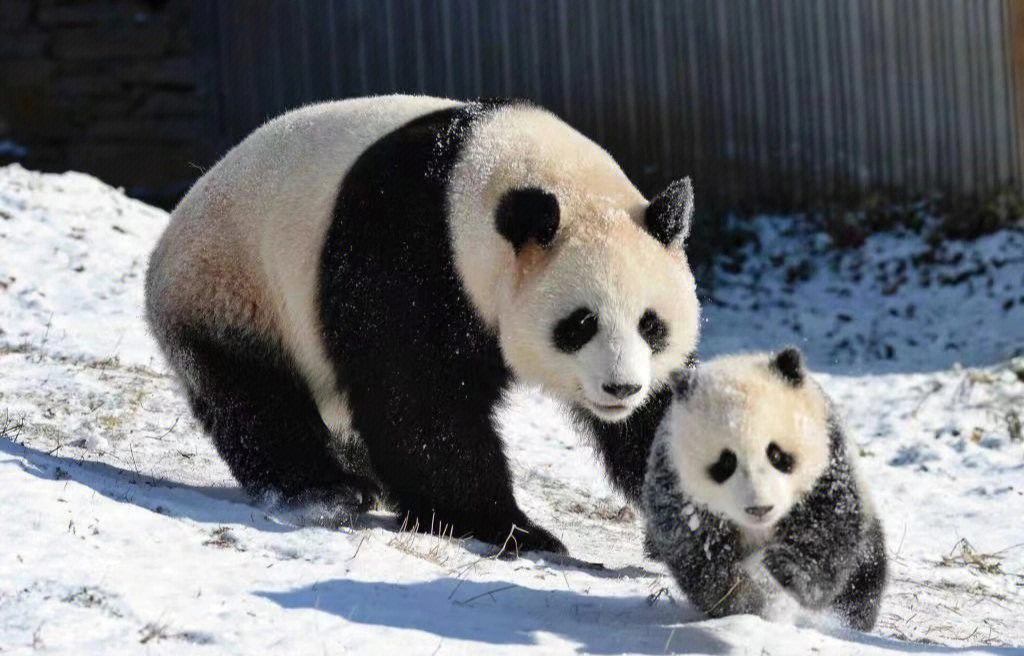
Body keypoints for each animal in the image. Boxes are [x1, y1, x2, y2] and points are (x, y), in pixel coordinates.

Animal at [146, 93, 704, 552]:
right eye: (580, 323)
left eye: (651, 325)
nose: (622, 388)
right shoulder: (404, 253)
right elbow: (419, 401)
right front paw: (512, 529)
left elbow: (662, 424)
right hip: (234, 288)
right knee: (257, 401)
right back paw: (331, 489)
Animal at [643, 347, 884, 630]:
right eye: (726, 462)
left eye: (776, 454)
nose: (760, 508)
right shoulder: (675, 486)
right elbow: (699, 559)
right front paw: (750, 602)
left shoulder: (828, 465)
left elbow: (831, 531)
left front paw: (786, 567)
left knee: (864, 571)